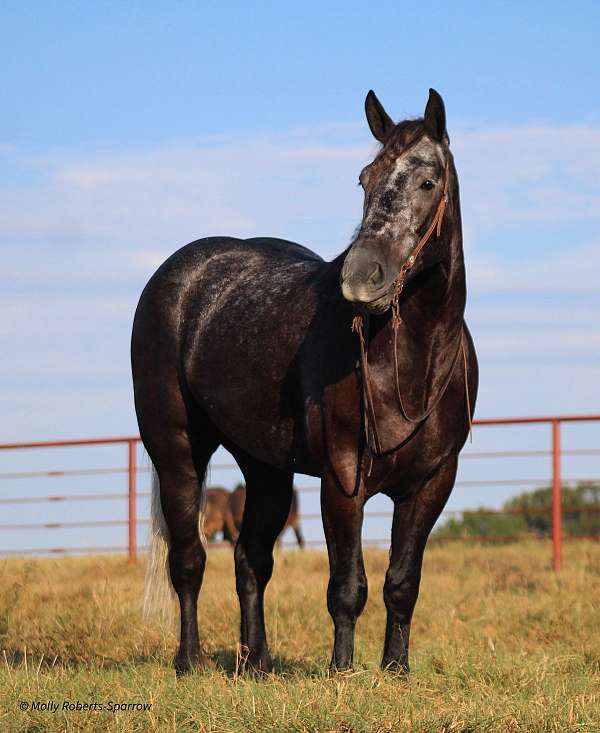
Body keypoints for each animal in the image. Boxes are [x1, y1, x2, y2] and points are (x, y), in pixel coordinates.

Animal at [132, 90, 478, 676]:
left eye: (428, 181)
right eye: (364, 179)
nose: (361, 278)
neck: (412, 362)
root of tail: (179, 275)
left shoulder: (433, 482)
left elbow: (402, 582)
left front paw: (396, 669)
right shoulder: (342, 478)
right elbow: (347, 586)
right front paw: (343, 670)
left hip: (266, 468)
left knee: (250, 559)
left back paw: (256, 662)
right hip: (177, 450)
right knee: (189, 559)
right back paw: (189, 660)